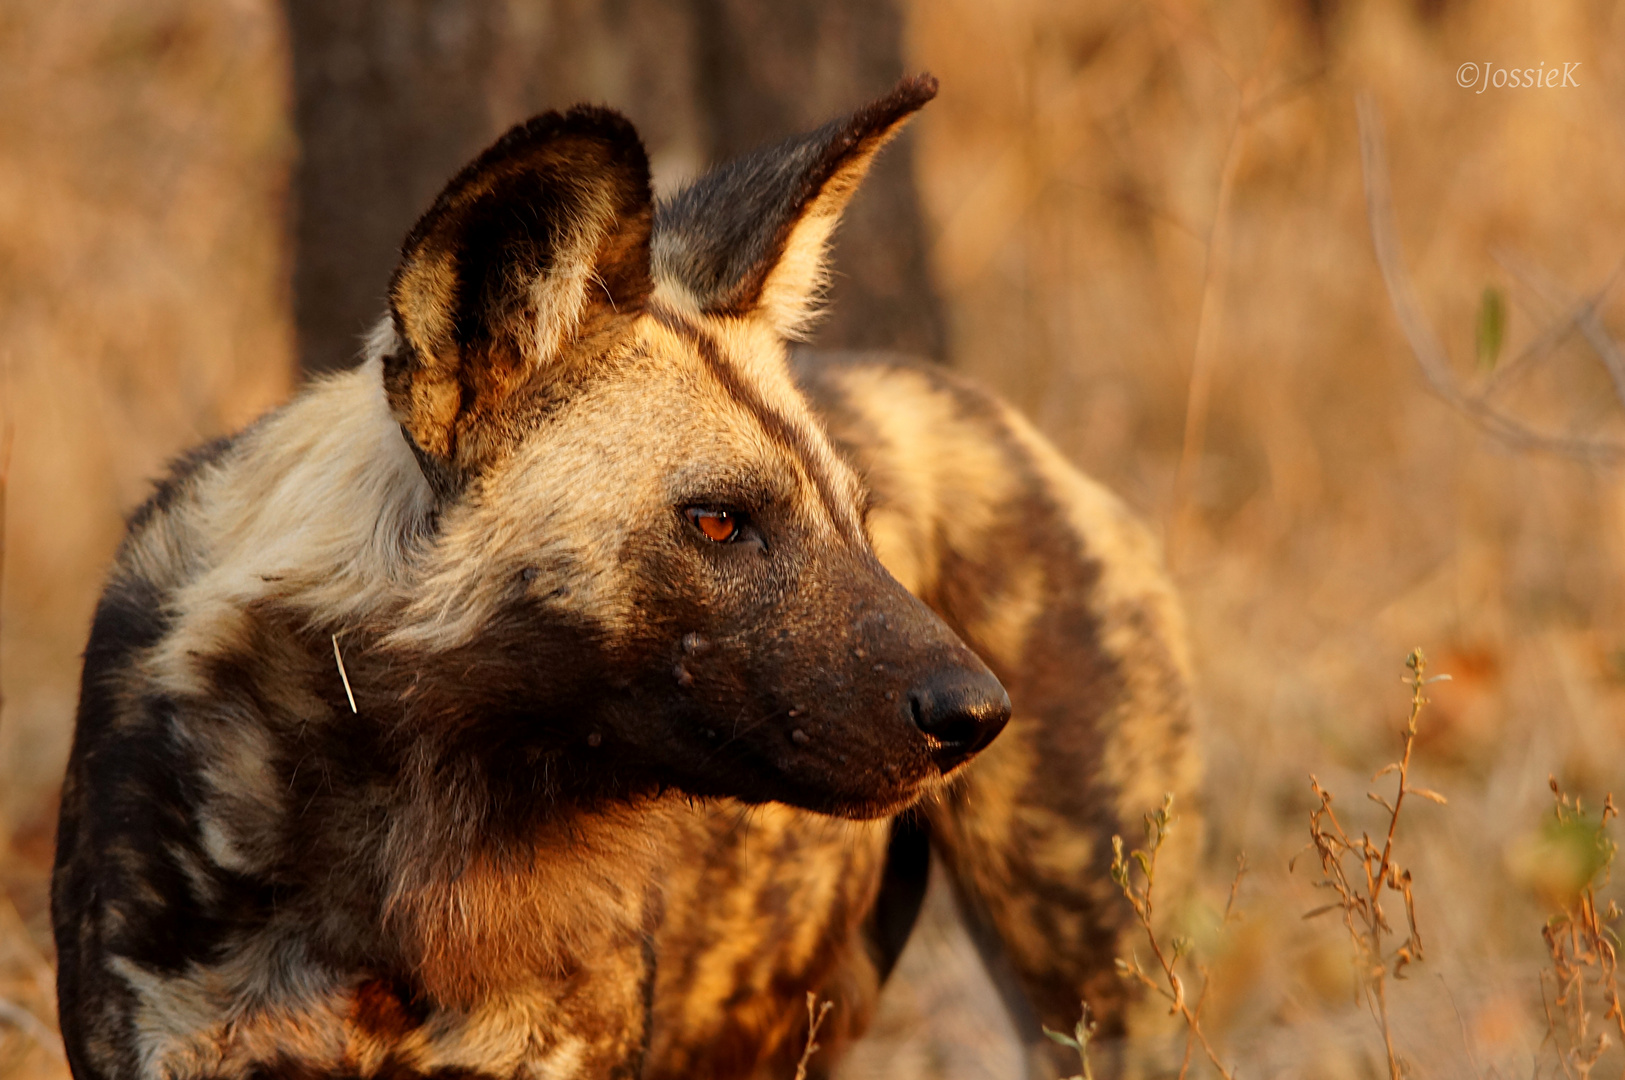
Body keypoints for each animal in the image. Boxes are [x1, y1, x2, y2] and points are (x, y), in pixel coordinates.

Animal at [50, 77, 1202, 1078]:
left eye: (857, 522)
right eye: (718, 521)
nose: (979, 713)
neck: (402, 826)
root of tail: (1011, 425)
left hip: (1099, 1003)